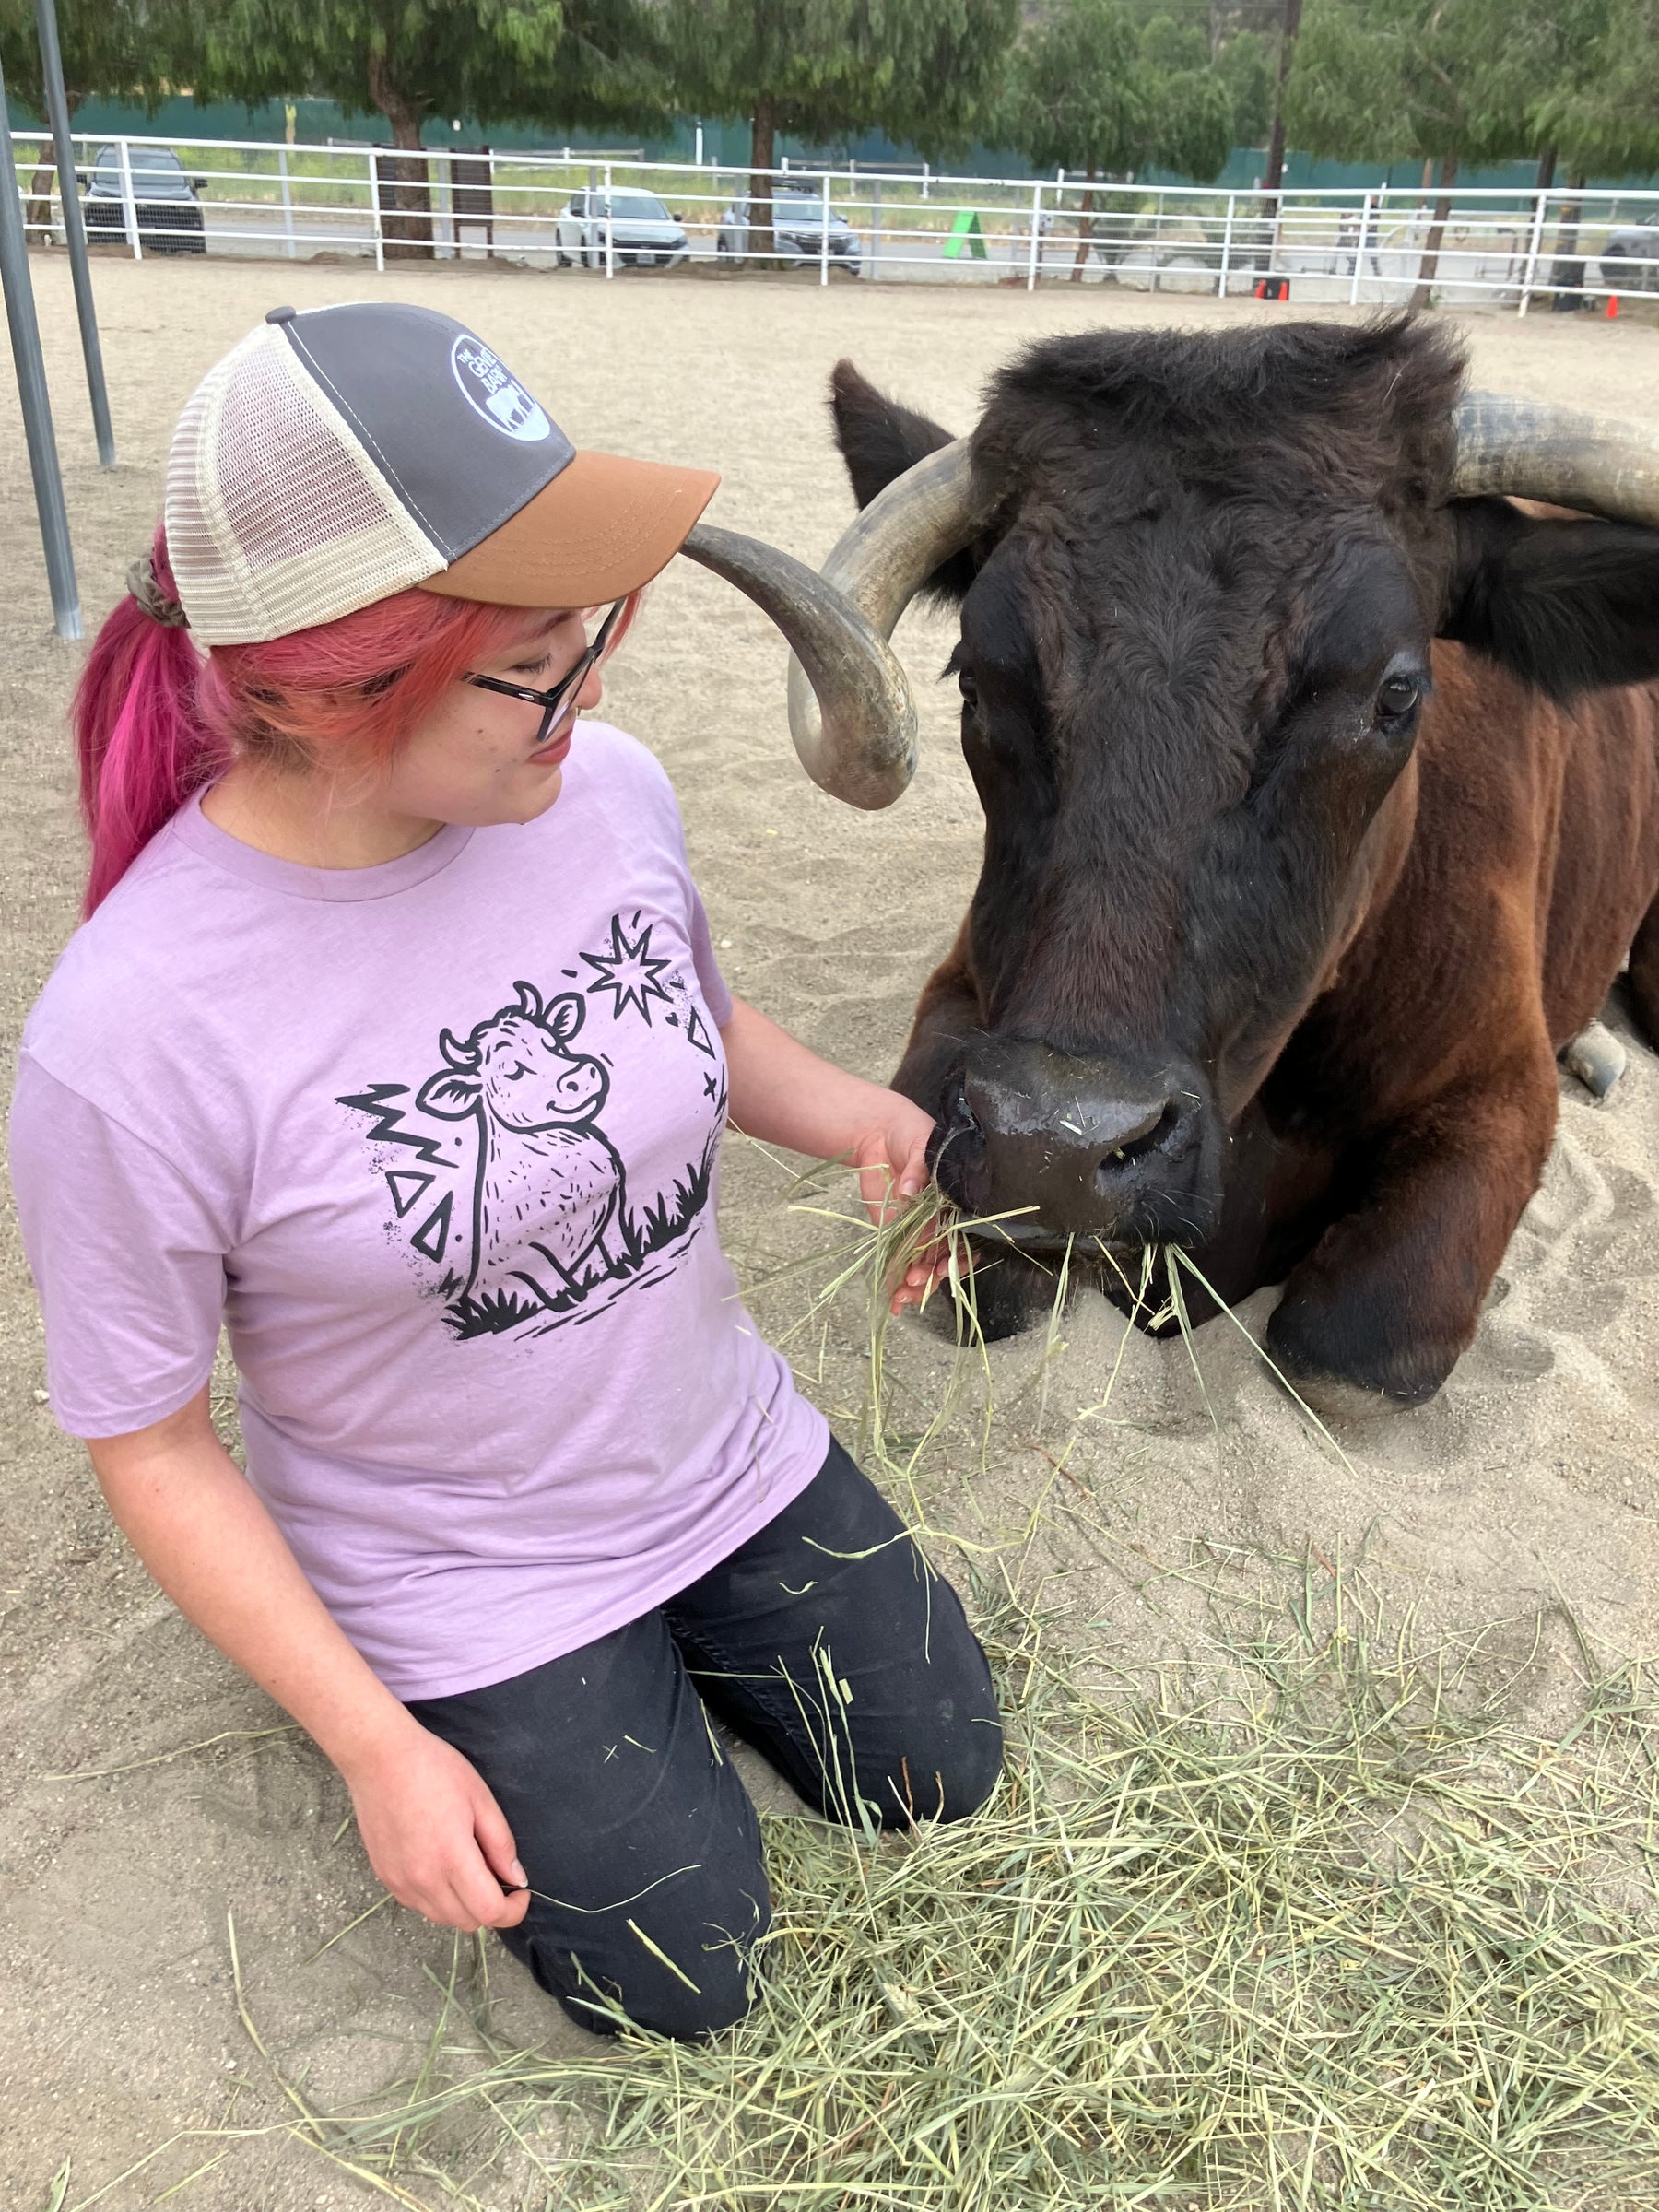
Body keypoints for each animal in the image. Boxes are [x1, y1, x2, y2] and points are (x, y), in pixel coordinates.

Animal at [417, 982, 627, 1311]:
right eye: (512, 1070)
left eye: (553, 1043)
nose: (580, 1076)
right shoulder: (523, 1252)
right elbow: (548, 1278)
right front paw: (568, 1300)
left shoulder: (613, 1204)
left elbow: (615, 1246)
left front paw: (623, 1269)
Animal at [678, 314, 1659, 1415]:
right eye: (976, 677)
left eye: (1398, 690)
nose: (1052, 1149)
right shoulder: (963, 1004)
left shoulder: (1496, 1089)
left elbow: (1349, 1351)